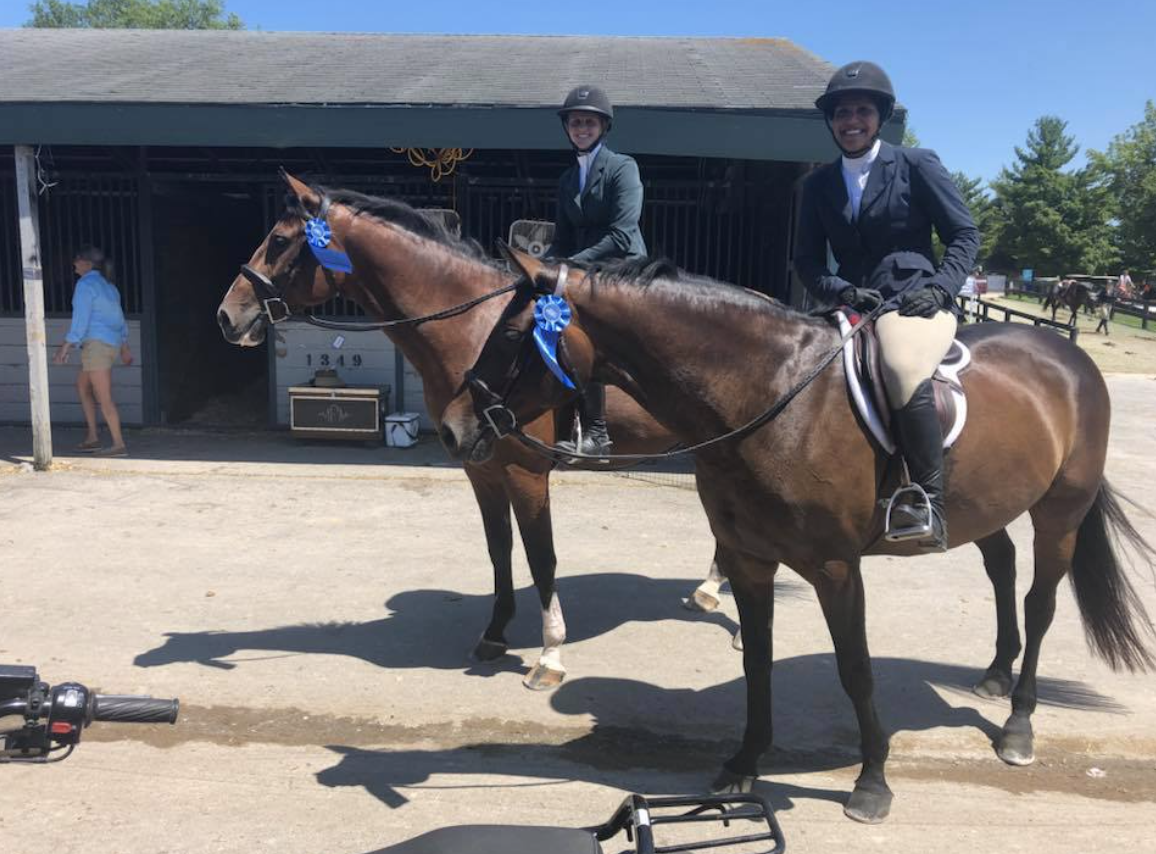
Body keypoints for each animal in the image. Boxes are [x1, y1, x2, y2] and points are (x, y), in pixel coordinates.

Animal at [217, 176, 721, 693]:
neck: (473, 332)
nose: (227, 316)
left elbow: (542, 557)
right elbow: (500, 550)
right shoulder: (481, 468)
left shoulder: (524, 471)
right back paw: (706, 591)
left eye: (279, 240)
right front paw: (494, 634)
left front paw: (550, 654)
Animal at [436, 250, 1151, 822]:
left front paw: (871, 782)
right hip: (992, 507)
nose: (451, 427)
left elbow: (856, 670)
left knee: (1041, 603)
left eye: (515, 335)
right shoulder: (749, 558)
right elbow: (756, 661)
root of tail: (1067, 353)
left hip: (1060, 513)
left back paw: (1018, 726)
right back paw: (996, 676)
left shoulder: (835, 568)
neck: (772, 397)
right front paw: (743, 764)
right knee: (1001, 567)